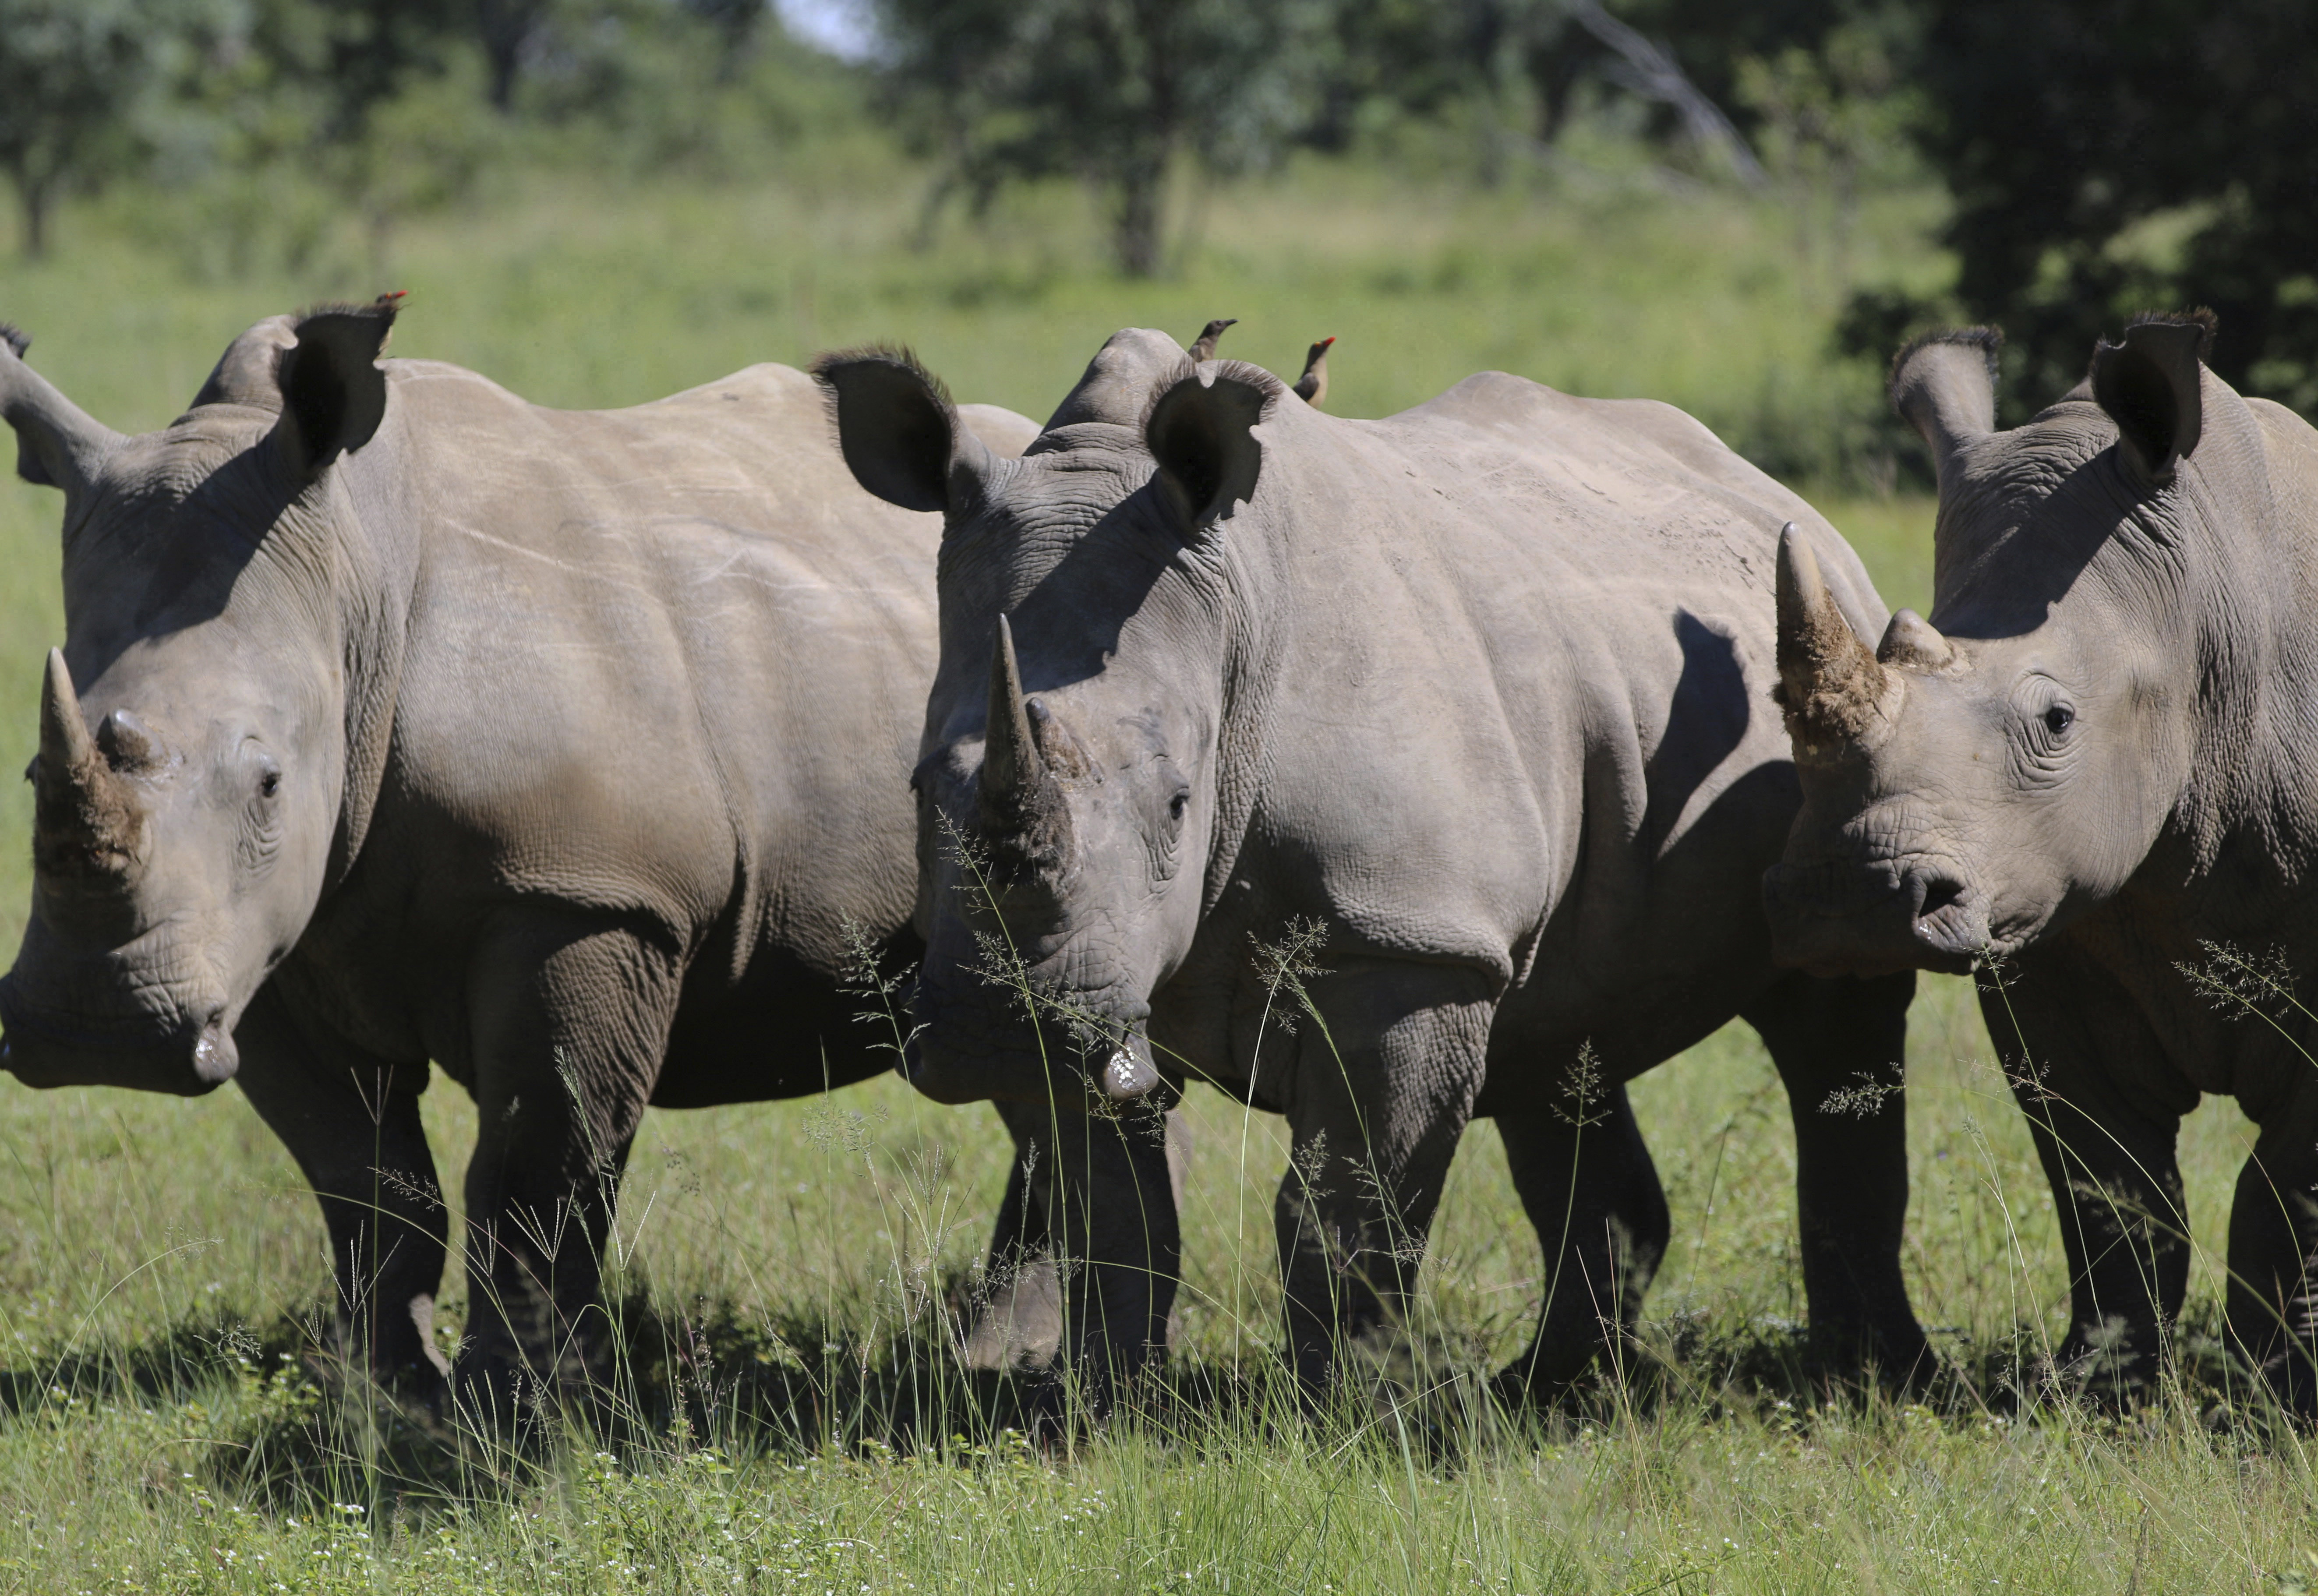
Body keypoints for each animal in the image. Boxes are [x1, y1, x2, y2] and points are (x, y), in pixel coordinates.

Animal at [0, 303, 1042, 1409]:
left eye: (271, 781)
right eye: (30, 772)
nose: (97, 1032)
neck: (355, 583)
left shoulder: (585, 894)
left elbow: (534, 1171)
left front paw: (518, 1403)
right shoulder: (258, 944)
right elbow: (362, 1175)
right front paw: (388, 1394)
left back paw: (996, 1360)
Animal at [814, 329, 1927, 1401]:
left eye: (1177, 804)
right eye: (917, 789)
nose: (997, 1035)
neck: (1234, 617)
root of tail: (1779, 499)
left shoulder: (1404, 944)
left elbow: (1345, 1207)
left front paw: (1345, 1417)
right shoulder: (1094, 987)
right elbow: (1116, 1220)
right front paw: (1102, 1406)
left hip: (1838, 708)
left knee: (1836, 1009)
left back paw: (1865, 1380)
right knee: (1560, 1033)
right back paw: (1549, 1389)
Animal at [1766, 313, 2318, 1409]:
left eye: (2058, 721)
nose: (1855, 900)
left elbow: (2281, 1192)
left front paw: (2277, 1397)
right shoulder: (2039, 921)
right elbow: (2110, 1183)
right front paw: (2097, 1391)